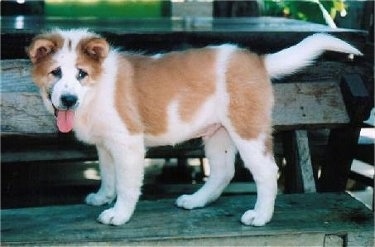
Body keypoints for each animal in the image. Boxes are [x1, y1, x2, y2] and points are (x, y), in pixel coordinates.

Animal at [26, 29, 362, 226]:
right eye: (55, 73)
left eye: (81, 74)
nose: (68, 100)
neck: (96, 89)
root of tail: (259, 61)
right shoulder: (105, 145)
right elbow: (108, 177)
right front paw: (102, 197)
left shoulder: (128, 142)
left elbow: (126, 185)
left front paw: (118, 214)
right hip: (218, 134)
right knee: (223, 172)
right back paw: (196, 201)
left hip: (247, 129)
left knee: (267, 172)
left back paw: (260, 216)